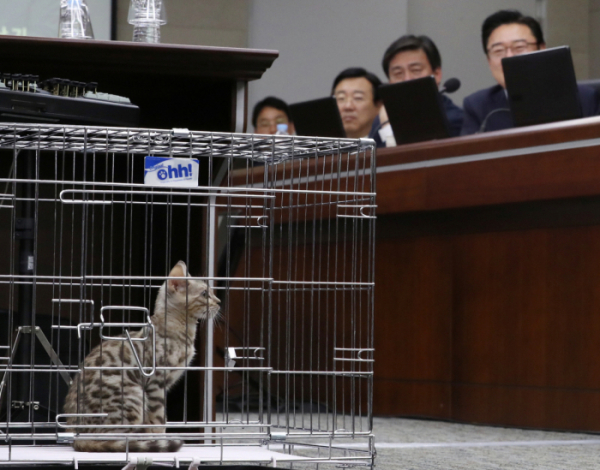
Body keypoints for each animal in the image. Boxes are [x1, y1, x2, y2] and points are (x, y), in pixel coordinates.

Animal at [62, 260, 220, 452]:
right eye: (205, 294)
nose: (219, 302)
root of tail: (75, 435)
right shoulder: (156, 384)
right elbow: (158, 421)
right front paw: (159, 438)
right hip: (133, 396)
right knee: (114, 438)